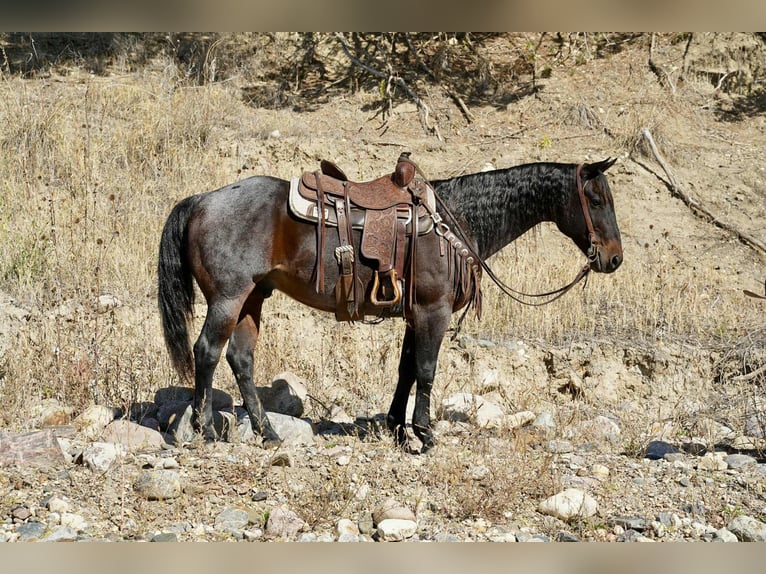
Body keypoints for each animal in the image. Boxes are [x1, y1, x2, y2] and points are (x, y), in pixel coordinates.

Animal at [157, 158, 622, 453]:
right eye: (596, 200)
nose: (614, 258)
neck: (455, 222)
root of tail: (201, 200)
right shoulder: (433, 311)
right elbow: (427, 370)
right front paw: (425, 434)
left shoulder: (415, 315)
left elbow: (405, 370)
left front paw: (398, 428)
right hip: (228, 297)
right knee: (207, 352)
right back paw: (204, 430)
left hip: (252, 298)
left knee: (241, 358)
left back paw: (267, 432)